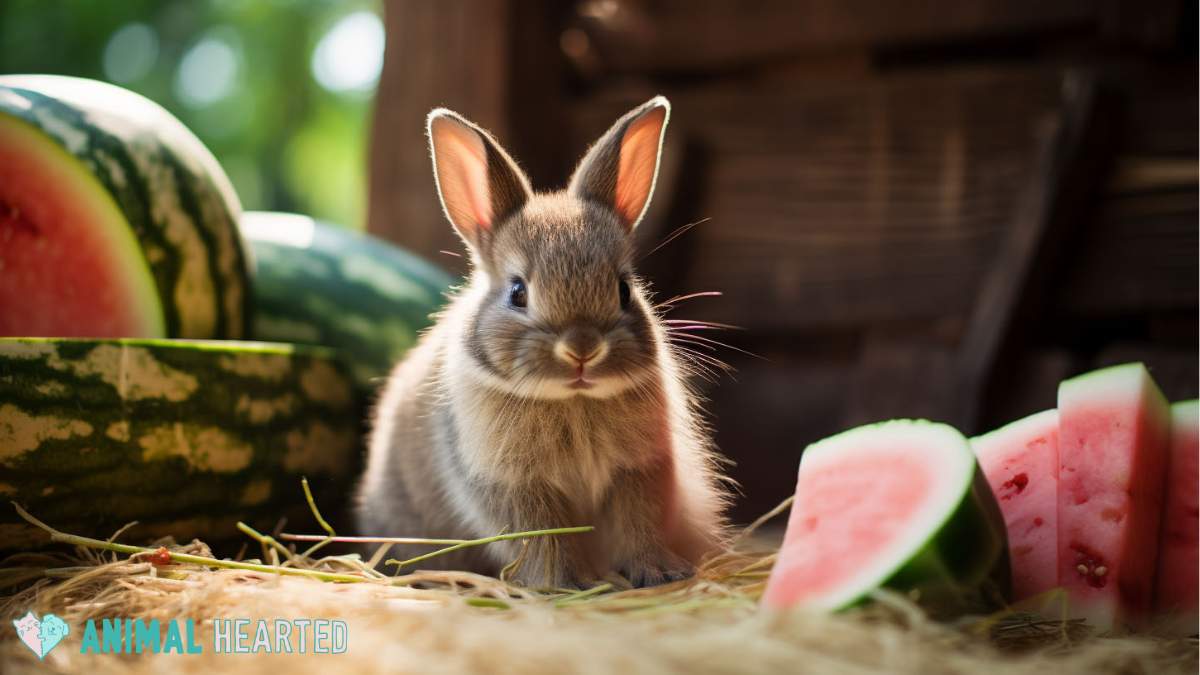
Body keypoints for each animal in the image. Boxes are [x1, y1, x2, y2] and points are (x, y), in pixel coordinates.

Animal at [352, 97, 729, 586]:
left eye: (624, 289)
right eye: (518, 292)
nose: (582, 349)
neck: (572, 399)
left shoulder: (639, 470)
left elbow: (638, 525)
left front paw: (660, 573)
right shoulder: (515, 487)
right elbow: (544, 538)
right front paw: (568, 584)